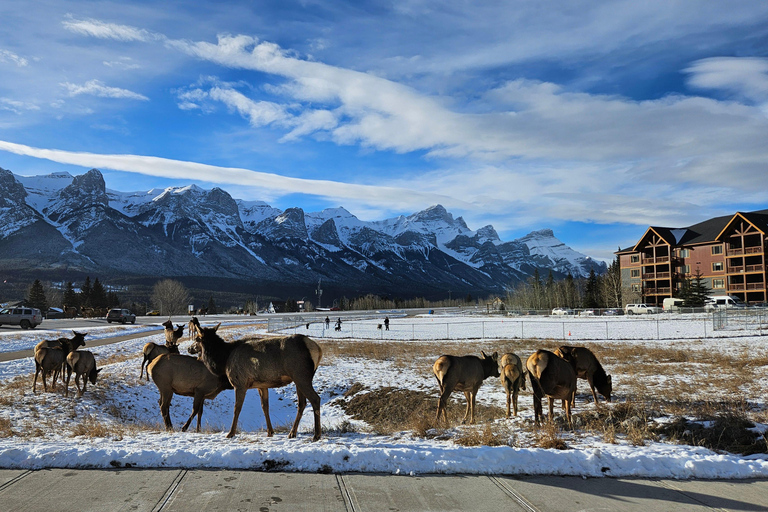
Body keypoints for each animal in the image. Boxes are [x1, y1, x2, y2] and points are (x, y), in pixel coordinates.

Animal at [192, 316, 328, 440]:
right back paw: (292, 433)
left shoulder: (240, 383)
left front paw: (231, 433)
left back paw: (316, 435)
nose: (189, 348)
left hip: (301, 375)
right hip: (298, 379)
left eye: (197, 338)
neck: (224, 360)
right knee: (302, 403)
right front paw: (270, 432)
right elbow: (264, 407)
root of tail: (318, 349)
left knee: (315, 399)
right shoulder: (261, 385)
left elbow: (237, 408)